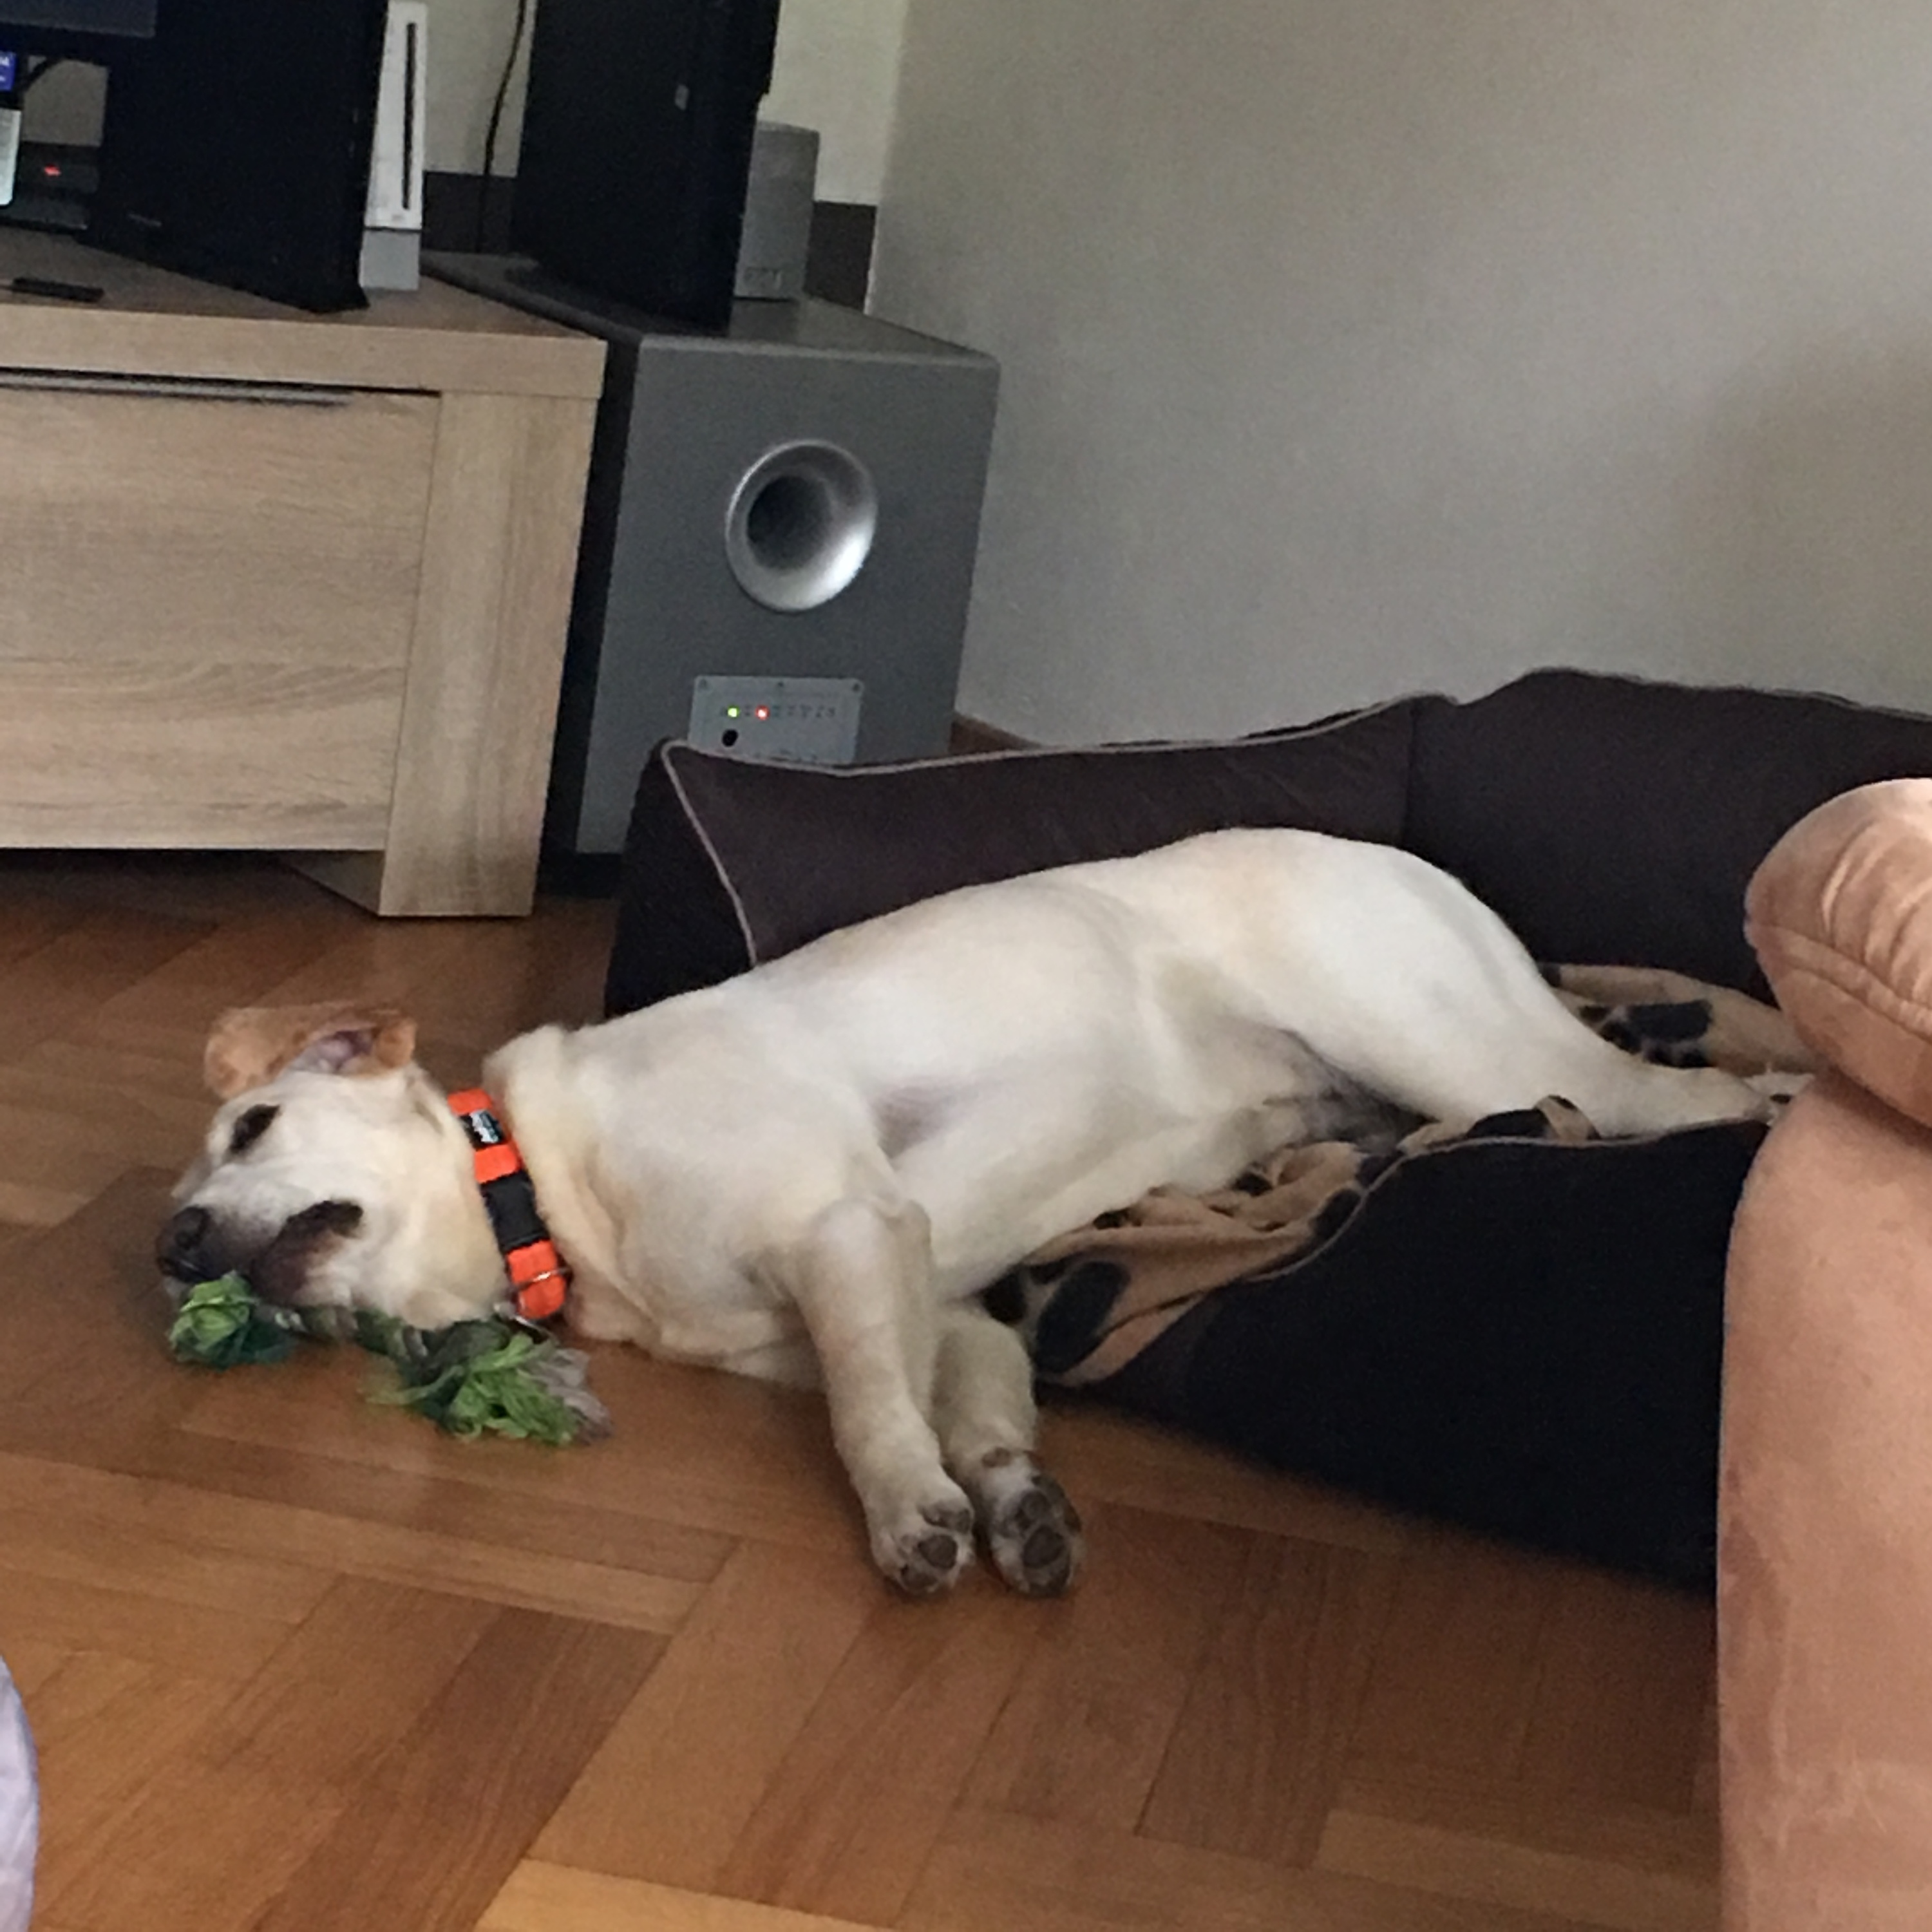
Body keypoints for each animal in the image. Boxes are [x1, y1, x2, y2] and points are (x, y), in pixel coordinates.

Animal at [159, 827, 1775, 1598]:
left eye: (253, 1126)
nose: (174, 1246)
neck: (554, 1199)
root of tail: (1410, 858)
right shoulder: (934, 1299)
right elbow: (972, 1404)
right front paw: (1013, 1504)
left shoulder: (846, 1232)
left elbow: (868, 1414)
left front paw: (911, 1519)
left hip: (1456, 1040)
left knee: (1680, 1096)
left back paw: (1756, 1100)